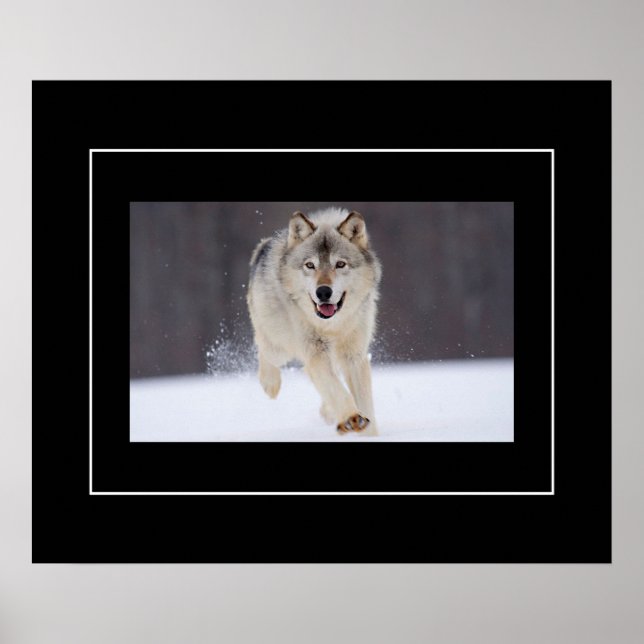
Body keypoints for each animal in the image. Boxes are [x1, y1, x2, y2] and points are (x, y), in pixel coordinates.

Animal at [247, 207, 382, 436]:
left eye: (340, 264)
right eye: (310, 265)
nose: (323, 292)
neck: (332, 326)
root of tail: (264, 246)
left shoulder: (354, 356)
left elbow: (364, 402)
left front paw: (367, 432)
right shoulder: (316, 353)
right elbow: (337, 390)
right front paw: (352, 418)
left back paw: (328, 413)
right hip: (280, 347)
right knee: (263, 347)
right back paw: (270, 384)